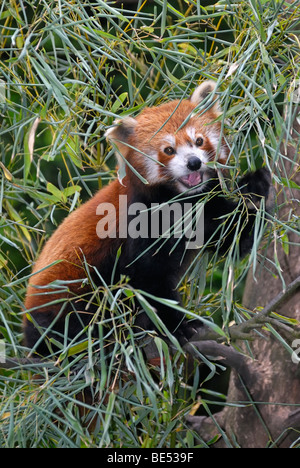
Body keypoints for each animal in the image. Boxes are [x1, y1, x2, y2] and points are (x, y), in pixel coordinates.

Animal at [23, 79, 272, 354]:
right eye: (168, 150)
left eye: (199, 140)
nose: (194, 163)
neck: (182, 201)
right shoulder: (140, 223)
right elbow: (150, 280)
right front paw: (178, 327)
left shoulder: (207, 208)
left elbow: (232, 239)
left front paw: (255, 186)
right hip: (68, 298)